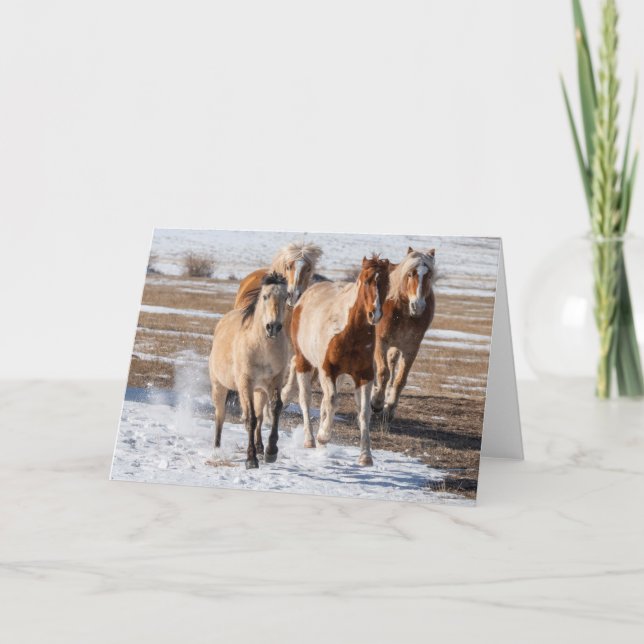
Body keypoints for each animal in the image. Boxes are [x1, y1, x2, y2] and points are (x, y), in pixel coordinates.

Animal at [209, 272, 290, 469]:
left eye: (286, 297)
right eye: (265, 296)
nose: (273, 327)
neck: (262, 347)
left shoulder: (275, 381)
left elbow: (275, 409)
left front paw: (270, 451)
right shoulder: (246, 383)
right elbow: (250, 418)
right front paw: (251, 459)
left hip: (259, 391)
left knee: (259, 417)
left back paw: (260, 448)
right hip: (220, 387)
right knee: (220, 416)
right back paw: (216, 449)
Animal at [289, 255, 390, 466]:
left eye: (386, 282)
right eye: (366, 280)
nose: (374, 314)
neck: (349, 331)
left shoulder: (364, 376)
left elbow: (363, 412)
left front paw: (365, 456)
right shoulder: (328, 370)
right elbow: (332, 401)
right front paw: (323, 436)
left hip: (341, 375)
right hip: (304, 363)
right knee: (306, 399)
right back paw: (310, 439)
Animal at [370, 247, 436, 422]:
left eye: (429, 275)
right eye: (410, 274)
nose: (418, 306)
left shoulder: (411, 348)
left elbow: (400, 379)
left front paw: (389, 407)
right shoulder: (381, 342)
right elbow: (383, 372)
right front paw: (377, 403)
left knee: (393, 365)